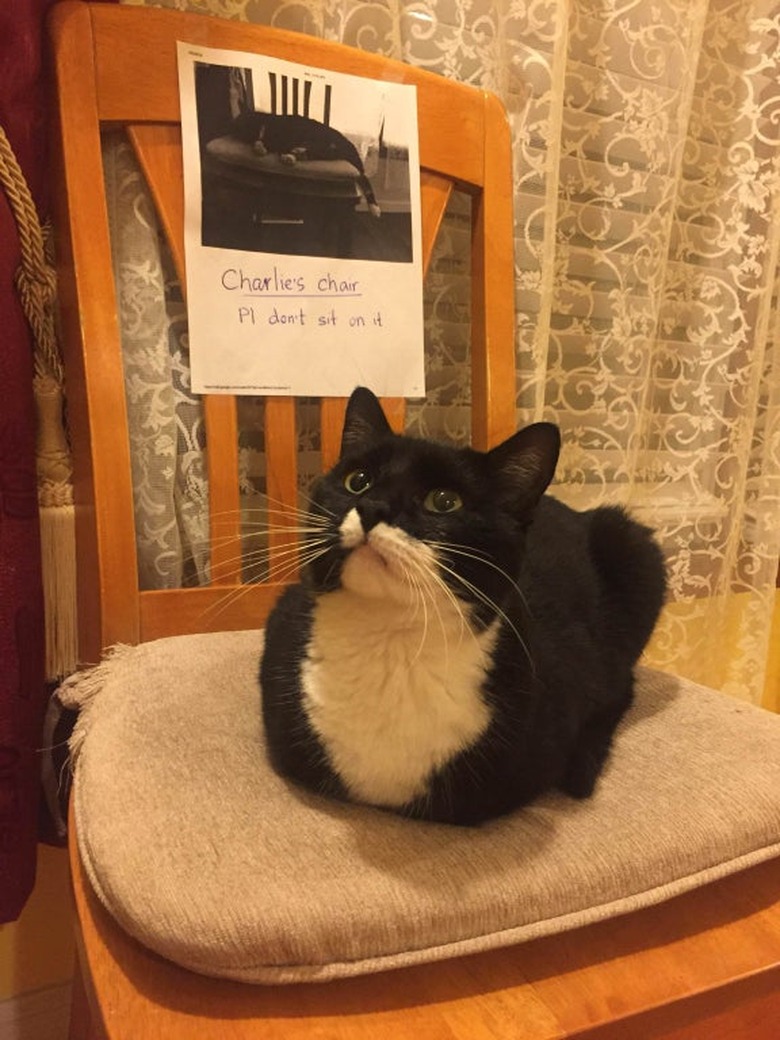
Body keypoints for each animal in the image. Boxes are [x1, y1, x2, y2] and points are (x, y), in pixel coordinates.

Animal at [230, 111, 382, 217]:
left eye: (240, 123)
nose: (231, 128)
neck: (264, 125)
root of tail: (347, 145)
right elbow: (263, 144)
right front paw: (261, 148)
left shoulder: (285, 137)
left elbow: (267, 144)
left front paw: (262, 148)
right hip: (326, 150)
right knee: (315, 152)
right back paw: (294, 154)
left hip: (320, 141)